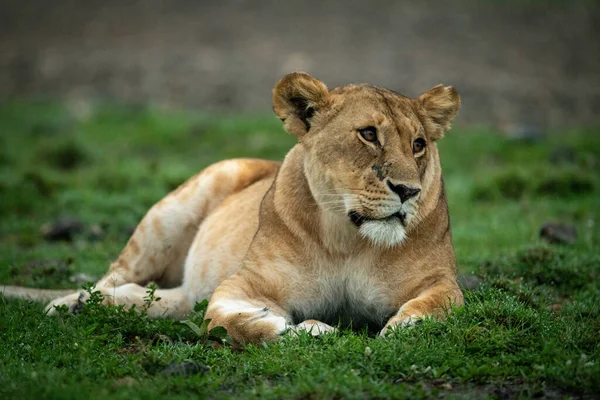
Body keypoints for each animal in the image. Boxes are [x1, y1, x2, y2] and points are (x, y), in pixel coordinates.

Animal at [1, 72, 464, 346]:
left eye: (418, 144)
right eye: (368, 134)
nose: (408, 190)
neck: (349, 238)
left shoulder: (440, 281)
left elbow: (439, 307)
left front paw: (405, 328)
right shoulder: (243, 283)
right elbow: (225, 319)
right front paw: (294, 329)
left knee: (169, 301)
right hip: (172, 212)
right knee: (112, 280)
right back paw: (70, 305)